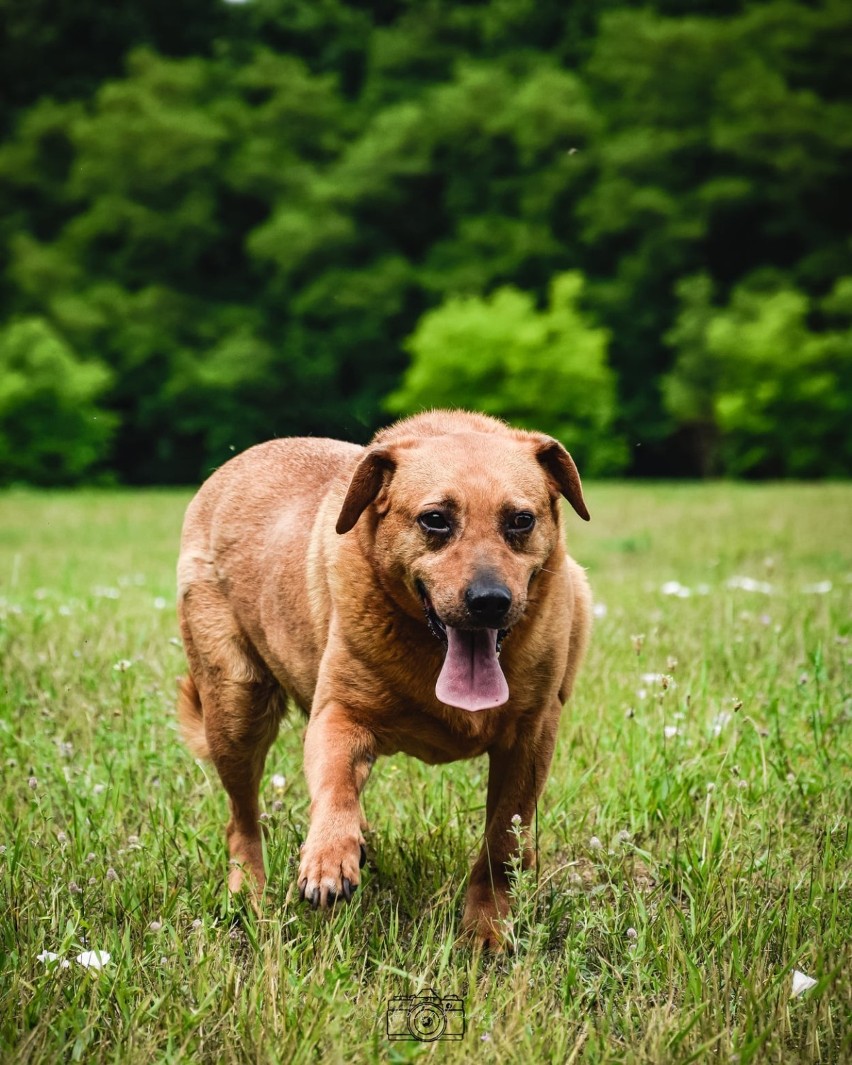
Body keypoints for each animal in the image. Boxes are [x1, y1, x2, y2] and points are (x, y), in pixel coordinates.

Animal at [177, 408, 592, 949]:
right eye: (435, 519)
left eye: (521, 520)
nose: (489, 601)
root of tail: (228, 470)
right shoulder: (339, 717)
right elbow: (333, 787)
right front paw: (329, 857)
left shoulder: (532, 737)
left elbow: (502, 841)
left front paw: (486, 929)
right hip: (235, 708)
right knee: (242, 819)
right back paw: (249, 890)